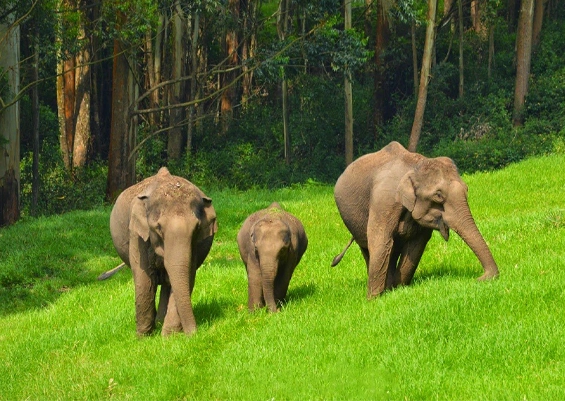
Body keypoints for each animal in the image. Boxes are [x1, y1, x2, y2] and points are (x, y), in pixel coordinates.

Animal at [109, 166, 217, 334]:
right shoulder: (137, 235)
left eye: (197, 228)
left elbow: (186, 276)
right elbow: (144, 280)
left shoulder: (195, 246)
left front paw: (169, 335)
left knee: (167, 283)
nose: (195, 334)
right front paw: (143, 335)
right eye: (158, 228)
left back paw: (160, 322)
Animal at [330, 141, 498, 296]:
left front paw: (399, 289)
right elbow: (381, 241)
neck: (415, 165)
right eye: (438, 196)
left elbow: (416, 245)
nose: (479, 278)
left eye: (467, 189)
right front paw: (374, 300)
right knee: (368, 248)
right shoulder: (383, 202)